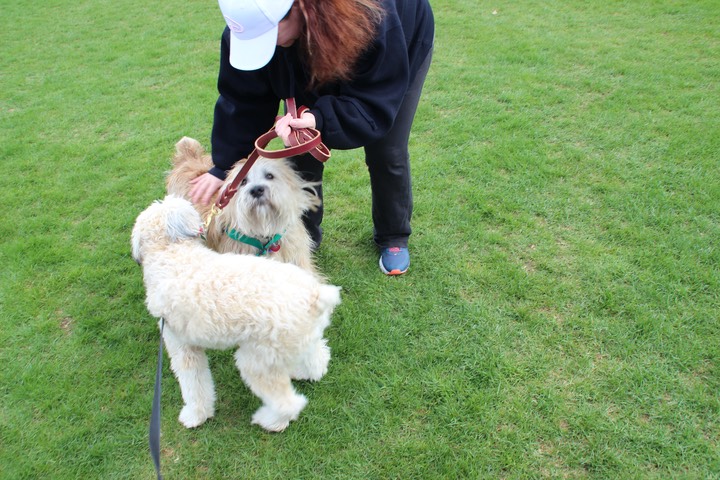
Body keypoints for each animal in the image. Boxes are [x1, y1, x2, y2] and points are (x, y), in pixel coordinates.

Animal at [133, 195, 344, 432]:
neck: (170, 252)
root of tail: (315, 295)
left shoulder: (182, 347)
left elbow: (194, 386)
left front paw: (195, 415)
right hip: (301, 341)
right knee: (318, 359)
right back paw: (304, 372)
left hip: (256, 362)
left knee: (289, 403)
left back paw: (269, 421)